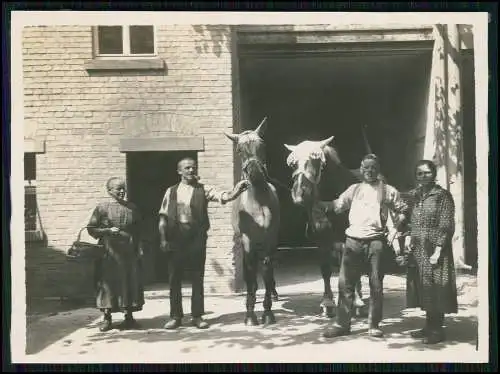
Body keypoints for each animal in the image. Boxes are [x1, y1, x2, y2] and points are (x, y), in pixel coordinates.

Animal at [224, 118, 280, 326]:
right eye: (239, 149)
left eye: (262, 144)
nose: (255, 173)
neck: (258, 203)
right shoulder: (248, 241)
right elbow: (250, 276)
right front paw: (250, 315)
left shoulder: (270, 240)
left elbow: (267, 272)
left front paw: (268, 313)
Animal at [286, 136, 364, 318]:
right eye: (293, 164)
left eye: (317, 162)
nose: (299, 195)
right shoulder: (322, 240)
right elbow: (326, 269)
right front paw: (328, 303)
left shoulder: (347, 239)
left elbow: (349, 268)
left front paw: (355, 302)